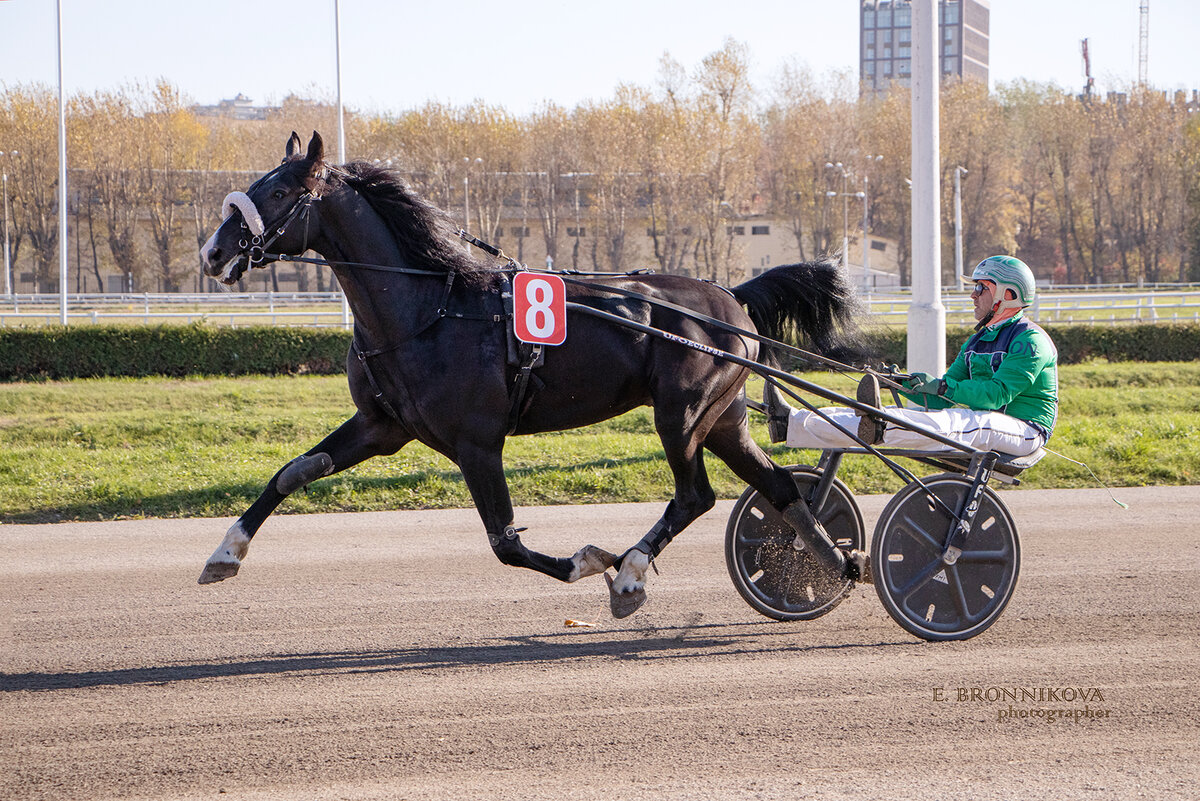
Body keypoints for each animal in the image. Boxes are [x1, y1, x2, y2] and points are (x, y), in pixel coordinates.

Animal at [201, 133, 868, 618]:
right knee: (777, 487)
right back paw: (834, 562)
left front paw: (590, 561)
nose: (212, 252)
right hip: (723, 420)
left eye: (280, 190)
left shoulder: (477, 442)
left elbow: (506, 543)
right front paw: (224, 552)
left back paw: (629, 573)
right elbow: (292, 472)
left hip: (680, 414)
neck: (428, 309)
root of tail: (730, 295)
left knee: (694, 494)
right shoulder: (381, 426)